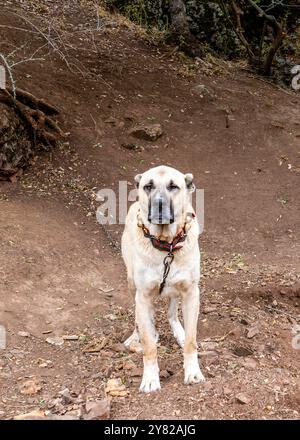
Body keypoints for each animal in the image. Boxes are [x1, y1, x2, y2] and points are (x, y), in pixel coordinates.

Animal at [120, 165, 205, 392]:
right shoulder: (143, 296)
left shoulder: (191, 292)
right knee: (140, 321)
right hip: (132, 284)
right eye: (148, 186)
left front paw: (193, 372)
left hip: (176, 288)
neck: (166, 244)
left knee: (172, 313)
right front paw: (150, 379)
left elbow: (192, 340)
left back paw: (178, 331)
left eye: (173, 186)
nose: (159, 205)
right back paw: (137, 335)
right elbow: (150, 348)